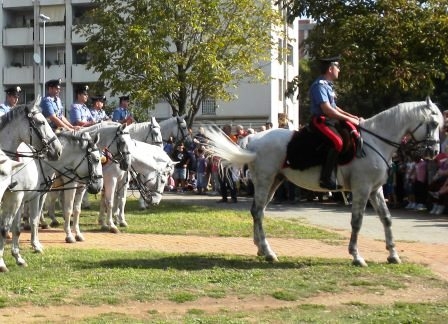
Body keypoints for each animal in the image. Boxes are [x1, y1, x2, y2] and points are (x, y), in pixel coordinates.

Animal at [0, 132, 102, 270]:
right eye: (96, 159)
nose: (98, 186)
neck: (40, 164)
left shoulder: (33, 195)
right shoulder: (33, 196)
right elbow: (36, 219)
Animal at [205, 98, 442, 266]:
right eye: (433, 123)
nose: (433, 152)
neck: (375, 142)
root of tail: (253, 139)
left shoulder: (376, 190)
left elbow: (387, 219)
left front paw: (393, 254)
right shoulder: (362, 189)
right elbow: (357, 221)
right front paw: (356, 256)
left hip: (274, 181)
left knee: (259, 212)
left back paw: (262, 250)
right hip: (265, 180)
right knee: (257, 211)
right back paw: (268, 251)